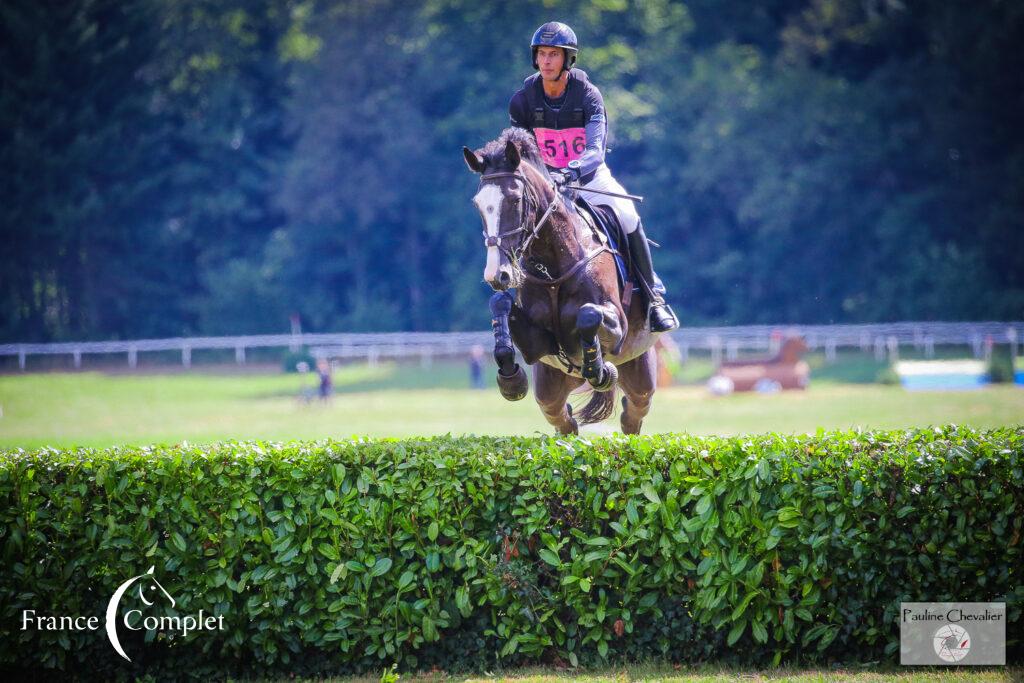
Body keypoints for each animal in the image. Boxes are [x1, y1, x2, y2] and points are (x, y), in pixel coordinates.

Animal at [466, 129, 663, 436]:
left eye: (515, 199)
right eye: (478, 205)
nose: (497, 275)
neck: (554, 268)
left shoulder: (617, 324)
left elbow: (589, 314)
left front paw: (598, 370)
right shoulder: (537, 344)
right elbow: (499, 303)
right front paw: (511, 378)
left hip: (639, 369)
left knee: (633, 413)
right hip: (550, 386)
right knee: (563, 419)